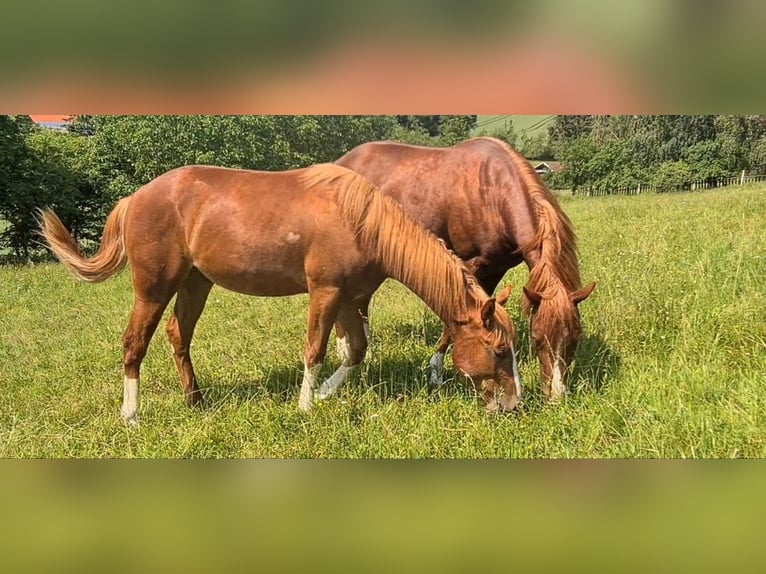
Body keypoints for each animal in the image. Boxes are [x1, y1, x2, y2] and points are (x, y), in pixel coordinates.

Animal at [40, 162, 520, 424]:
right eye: (499, 351)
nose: (514, 406)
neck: (362, 222)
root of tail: (134, 198)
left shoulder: (349, 299)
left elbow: (355, 350)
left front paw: (325, 394)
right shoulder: (325, 293)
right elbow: (315, 349)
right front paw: (307, 405)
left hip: (196, 283)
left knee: (179, 335)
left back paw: (195, 401)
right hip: (154, 288)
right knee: (134, 343)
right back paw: (132, 416)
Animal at [338, 137, 600, 402]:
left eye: (575, 338)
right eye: (536, 340)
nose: (557, 396)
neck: (493, 192)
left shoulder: (496, 269)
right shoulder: (470, 265)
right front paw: (436, 372)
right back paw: (344, 351)